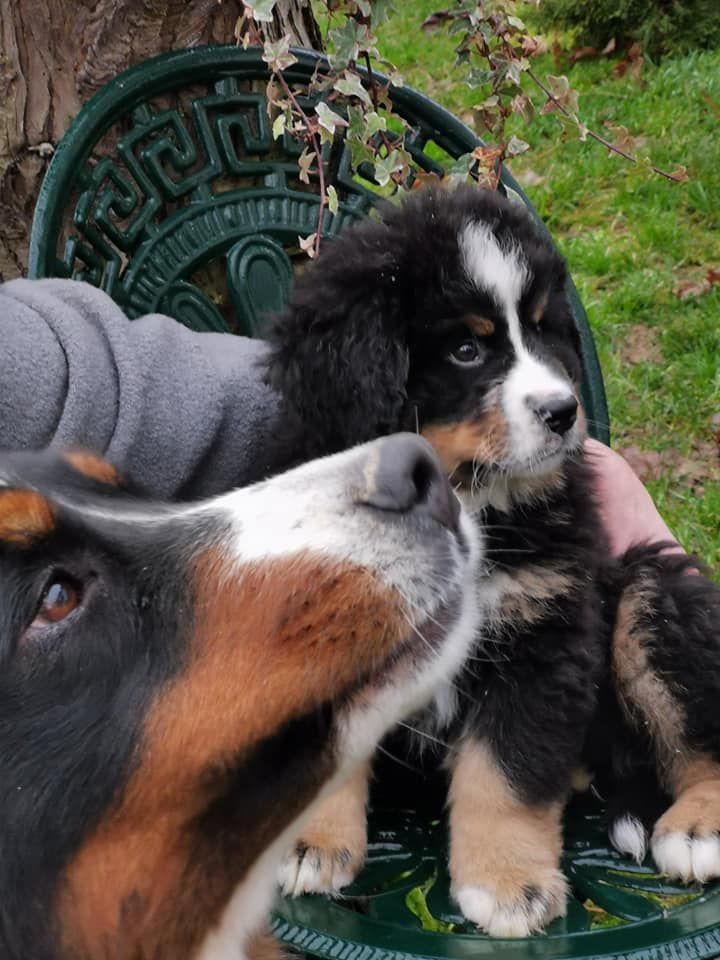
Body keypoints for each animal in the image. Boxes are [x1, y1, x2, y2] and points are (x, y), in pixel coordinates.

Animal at [264, 186, 720, 936]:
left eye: (541, 332)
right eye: (466, 349)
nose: (565, 411)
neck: (464, 504)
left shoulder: (542, 633)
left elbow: (505, 770)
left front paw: (509, 887)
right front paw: (308, 843)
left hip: (649, 591)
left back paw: (697, 829)